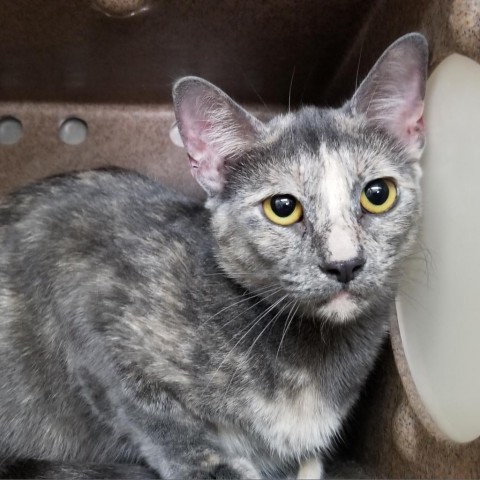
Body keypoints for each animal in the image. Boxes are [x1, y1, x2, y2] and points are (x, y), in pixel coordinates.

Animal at [0, 33, 428, 480]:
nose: (344, 262)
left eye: (378, 194)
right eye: (282, 207)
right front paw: (218, 467)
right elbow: (157, 418)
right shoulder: (88, 303)